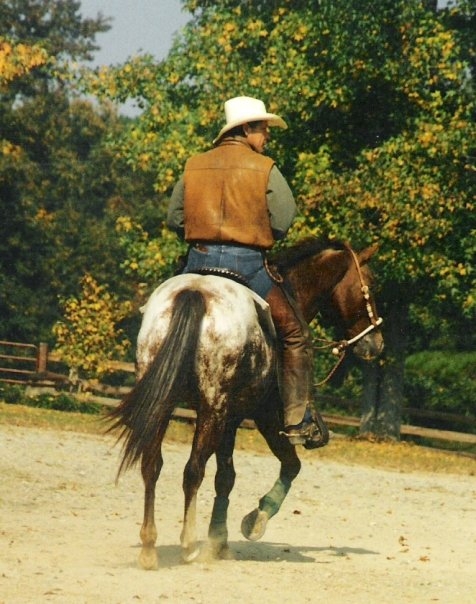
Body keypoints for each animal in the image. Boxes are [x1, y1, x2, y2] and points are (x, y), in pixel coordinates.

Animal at [108, 238, 384, 568]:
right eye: (370, 282)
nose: (376, 344)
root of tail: (196, 291)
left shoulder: (230, 418)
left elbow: (225, 477)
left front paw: (220, 540)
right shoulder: (262, 415)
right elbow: (290, 465)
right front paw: (255, 520)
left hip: (167, 404)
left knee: (152, 464)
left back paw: (150, 546)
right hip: (212, 410)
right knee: (193, 470)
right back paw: (188, 544)